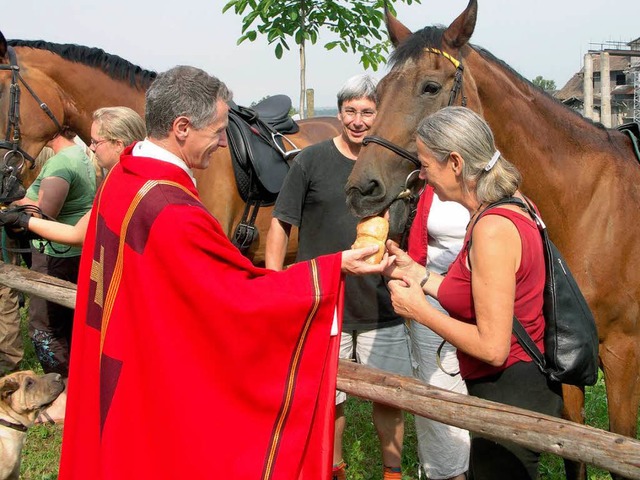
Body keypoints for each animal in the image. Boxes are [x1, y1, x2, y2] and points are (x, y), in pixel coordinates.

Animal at [348, 1, 640, 478]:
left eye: (430, 87)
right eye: (381, 90)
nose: (361, 189)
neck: (591, 204)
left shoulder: (622, 353)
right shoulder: (566, 359)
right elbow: (572, 448)